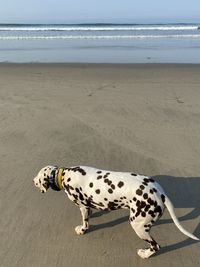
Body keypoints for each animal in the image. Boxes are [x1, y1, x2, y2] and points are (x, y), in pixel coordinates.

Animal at [32, 165, 198, 260]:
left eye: (37, 179)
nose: (32, 180)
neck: (65, 175)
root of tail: (160, 192)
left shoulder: (83, 206)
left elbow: (85, 222)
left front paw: (82, 229)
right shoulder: (88, 205)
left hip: (138, 227)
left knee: (156, 246)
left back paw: (145, 255)